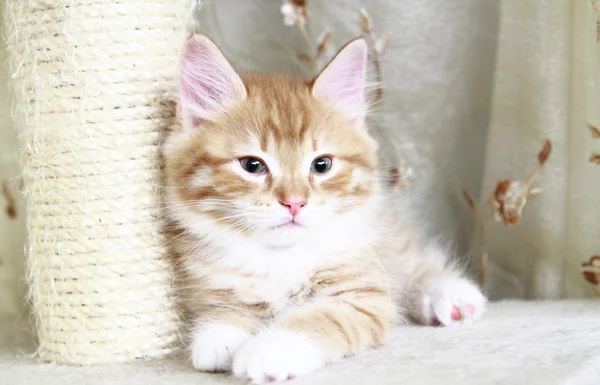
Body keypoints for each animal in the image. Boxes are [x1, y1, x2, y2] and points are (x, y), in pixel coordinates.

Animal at [164, 34, 488, 382]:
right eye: (252, 166)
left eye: (322, 165)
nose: (294, 202)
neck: (279, 257)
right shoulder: (204, 279)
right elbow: (224, 306)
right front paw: (220, 334)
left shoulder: (362, 294)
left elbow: (319, 317)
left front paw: (270, 350)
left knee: (414, 262)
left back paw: (454, 295)